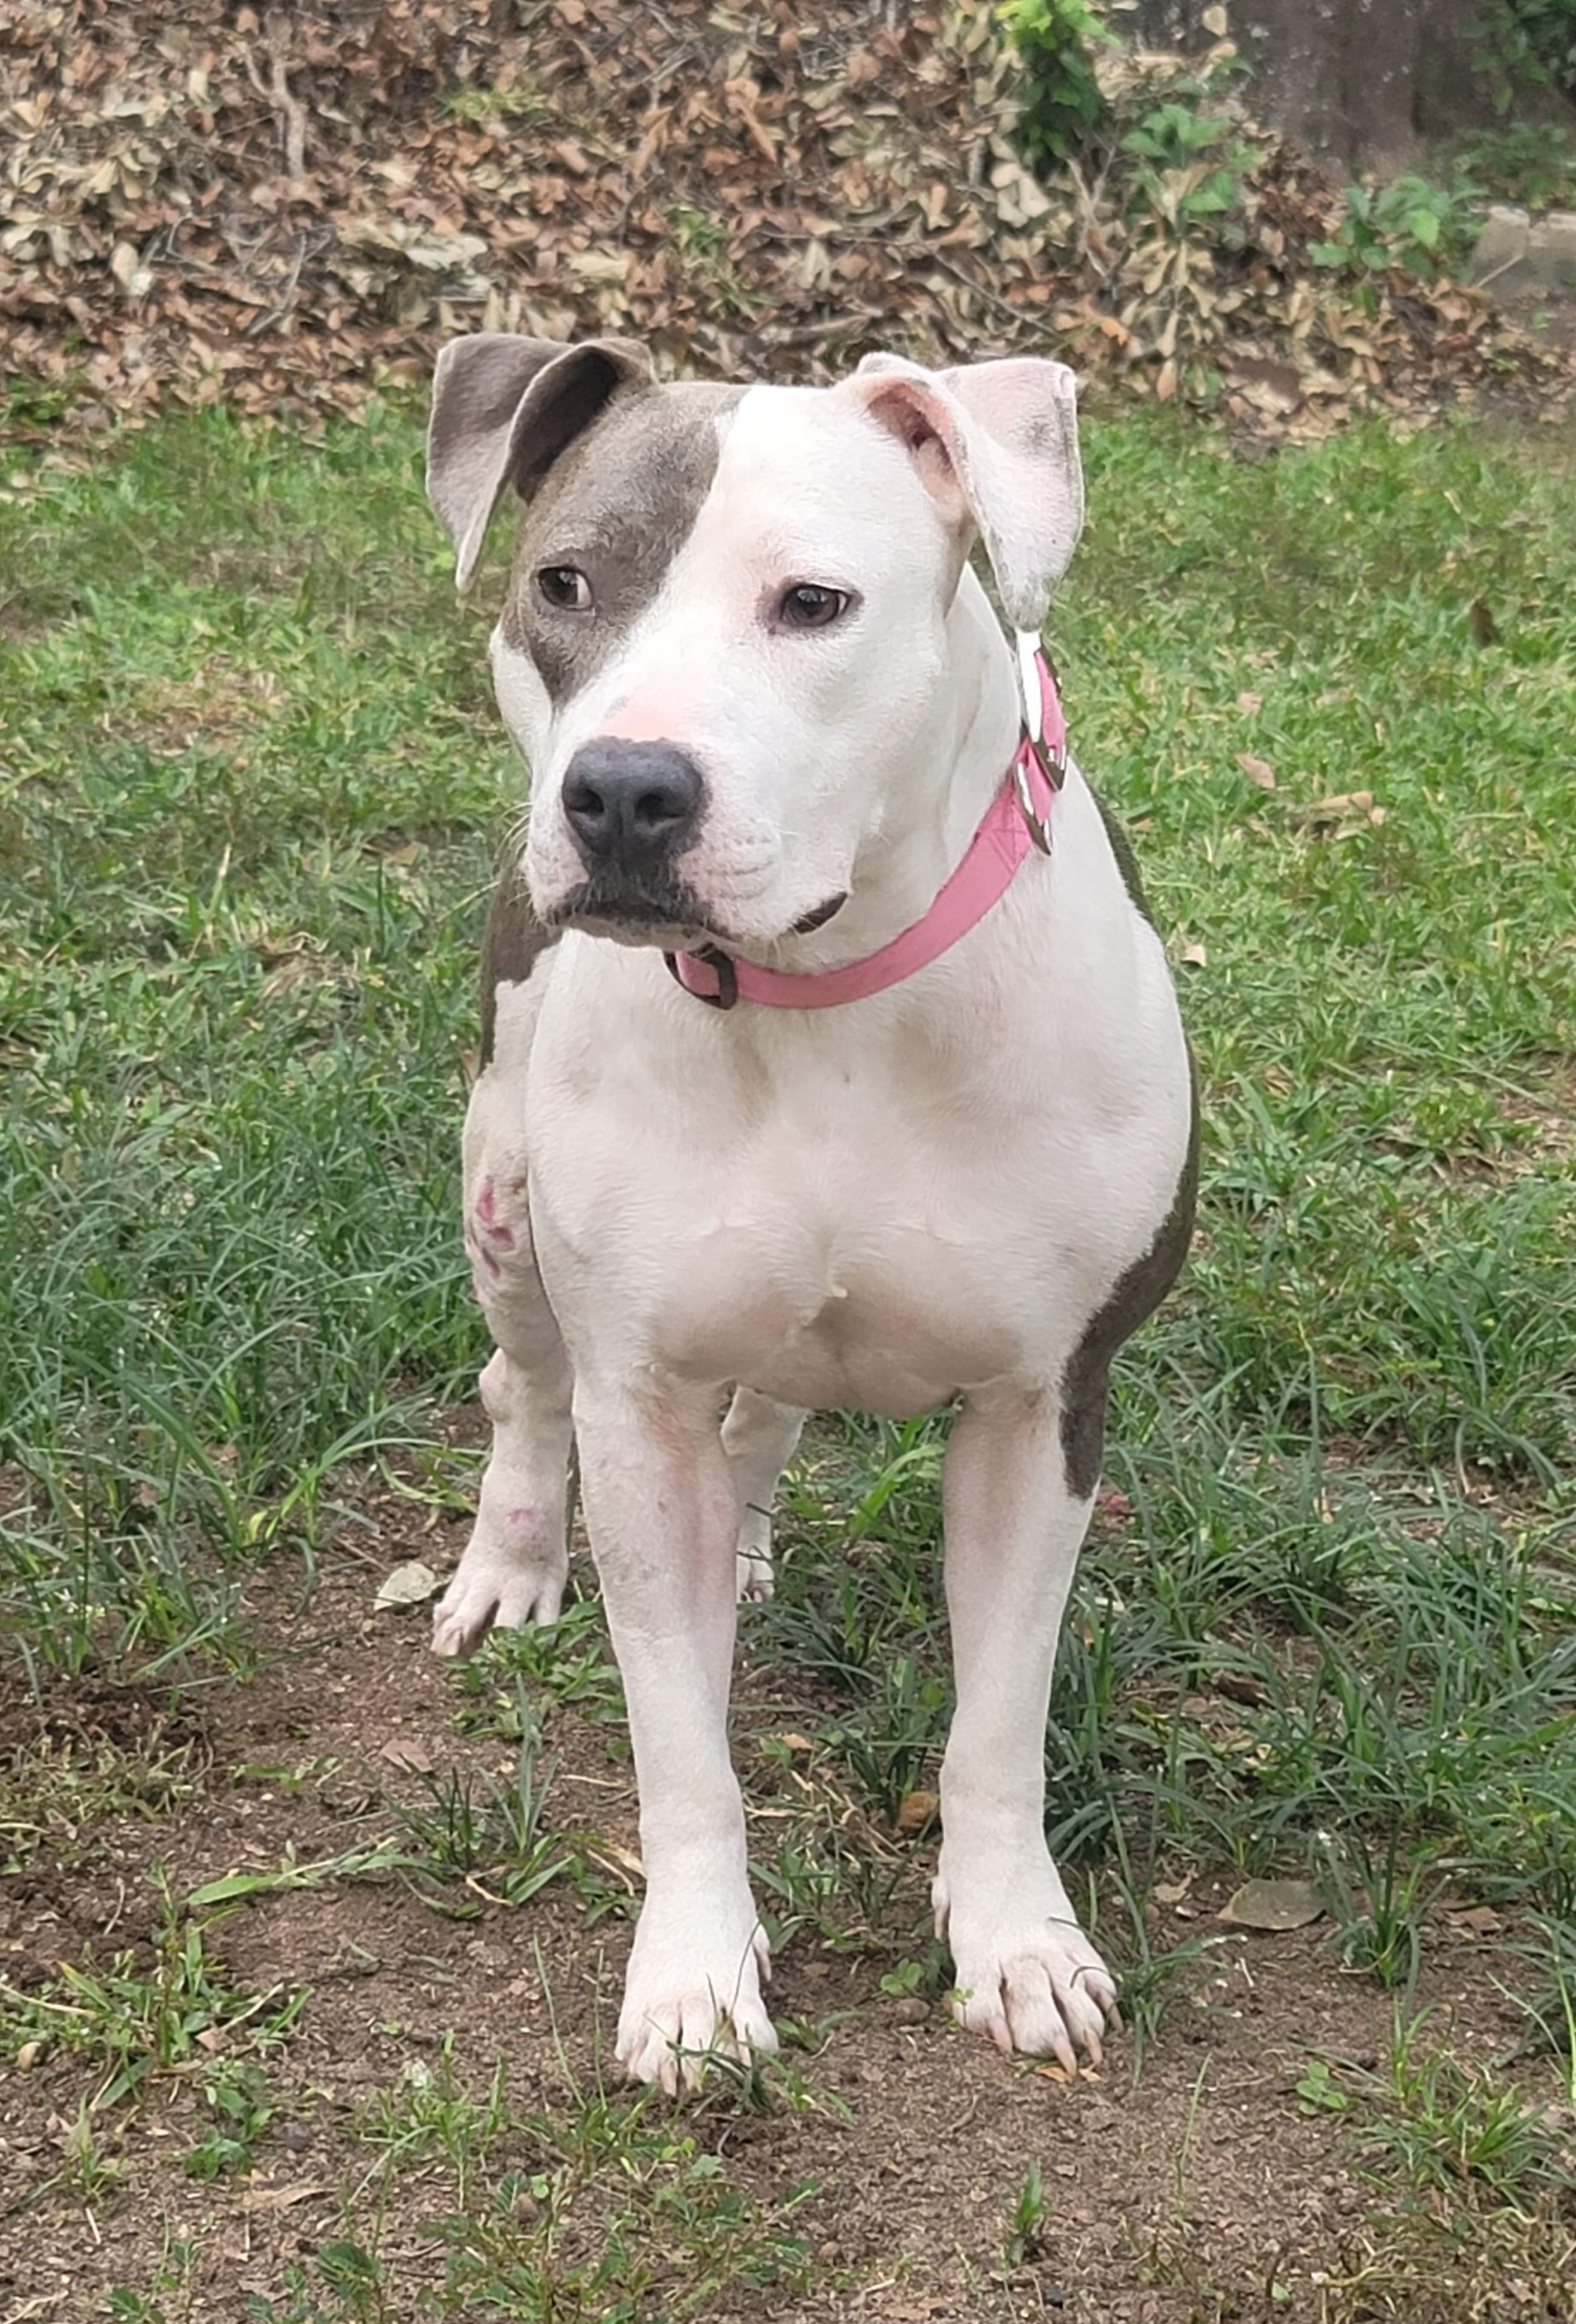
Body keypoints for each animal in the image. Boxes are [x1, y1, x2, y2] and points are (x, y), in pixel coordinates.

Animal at [421, 337, 1199, 2100]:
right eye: (563, 583)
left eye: (815, 604)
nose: (621, 789)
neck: (827, 986)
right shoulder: (639, 1403)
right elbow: (679, 1743)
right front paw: (694, 1975)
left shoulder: (1042, 1407)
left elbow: (997, 1726)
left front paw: (1016, 1939)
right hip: (502, 1203)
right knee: (524, 1392)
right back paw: (512, 1561)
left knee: (766, 1418)